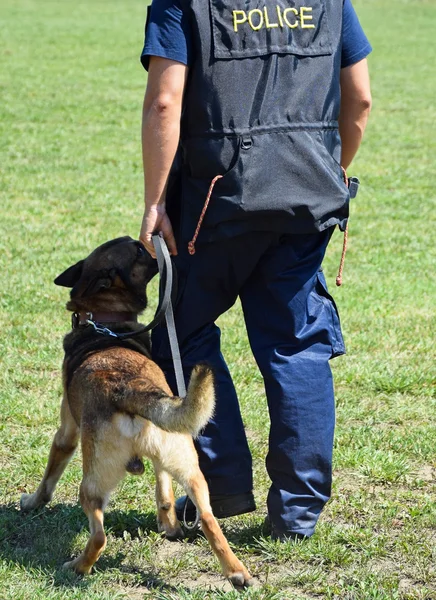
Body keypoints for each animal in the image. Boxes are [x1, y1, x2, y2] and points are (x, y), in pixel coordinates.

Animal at [20, 237, 252, 588]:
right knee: (210, 519)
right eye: (137, 251)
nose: (146, 240)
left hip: (91, 484)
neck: (105, 323)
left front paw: (31, 503)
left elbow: (48, 480)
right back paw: (237, 573)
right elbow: (164, 489)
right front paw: (168, 522)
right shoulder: (163, 459)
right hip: (192, 471)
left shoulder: (66, 433)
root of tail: (129, 389)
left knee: (99, 536)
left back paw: (78, 567)